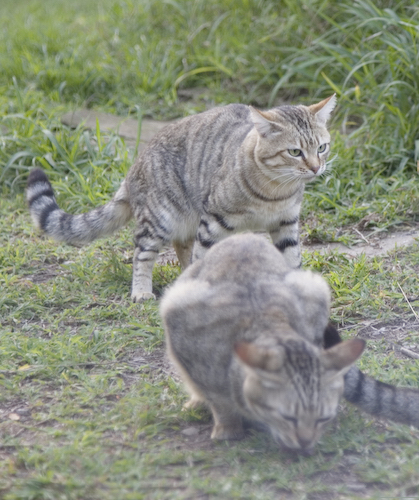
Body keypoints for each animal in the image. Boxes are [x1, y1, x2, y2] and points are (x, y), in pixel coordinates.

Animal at [26, 96, 336, 302]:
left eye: (322, 148)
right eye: (295, 152)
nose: (315, 168)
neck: (275, 192)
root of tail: (133, 168)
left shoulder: (286, 223)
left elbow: (292, 259)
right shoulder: (214, 220)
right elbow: (201, 253)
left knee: (183, 246)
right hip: (160, 218)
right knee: (143, 253)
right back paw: (142, 292)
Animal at [161, 233, 419, 450]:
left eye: (322, 418)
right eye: (287, 417)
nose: (305, 442)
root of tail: (244, 235)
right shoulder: (187, 340)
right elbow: (219, 402)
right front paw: (228, 428)